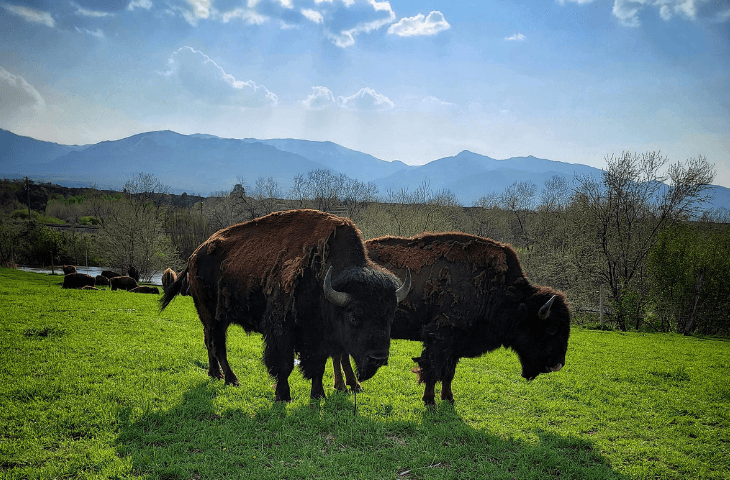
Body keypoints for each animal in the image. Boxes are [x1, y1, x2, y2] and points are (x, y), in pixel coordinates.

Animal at [161, 209, 410, 402]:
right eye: (354, 316)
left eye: (390, 316)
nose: (378, 358)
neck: (323, 281)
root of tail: (194, 255)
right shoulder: (282, 329)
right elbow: (285, 364)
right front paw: (283, 395)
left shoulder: (319, 337)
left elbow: (318, 366)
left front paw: (318, 395)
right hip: (213, 316)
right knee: (218, 345)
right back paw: (232, 379)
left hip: (213, 318)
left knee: (210, 342)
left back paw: (215, 375)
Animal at [330, 232, 568, 404]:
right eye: (551, 329)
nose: (558, 364)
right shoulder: (440, 338)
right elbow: (432, 369)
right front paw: (429, 400)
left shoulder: (456, 343)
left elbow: (448, 373)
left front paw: (448, 398)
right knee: (338, 355)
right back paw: (346, 386)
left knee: (341, 354)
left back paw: (351, 385)